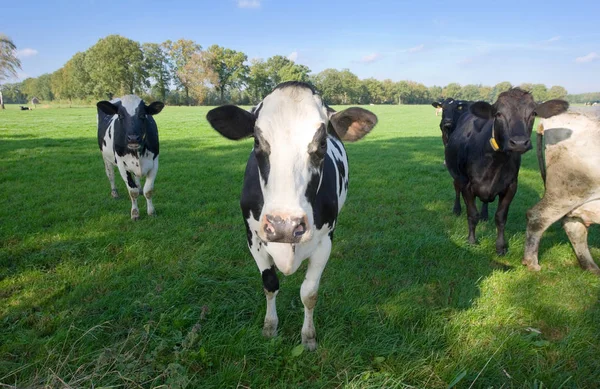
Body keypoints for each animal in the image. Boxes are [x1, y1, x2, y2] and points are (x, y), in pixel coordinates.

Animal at [205, 81, 376, 348]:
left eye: (323, 144)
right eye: (257, 142)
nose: (284, 225)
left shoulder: (325, 242)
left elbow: (309, 293)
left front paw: (308, 337)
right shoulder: (253, 237)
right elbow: (270, 284)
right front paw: (270, 327)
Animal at [446, 89, 568, 256]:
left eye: (533, 113)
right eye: (498, 114)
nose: (519, 143)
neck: (495, 162)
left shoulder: (511, 186)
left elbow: (501, 217)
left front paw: (501, 246)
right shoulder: (467, 185)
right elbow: (472, 214)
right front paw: (471, 240)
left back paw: (485, 215)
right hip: (457, 176)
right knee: (456, 188)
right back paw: (456, 209)